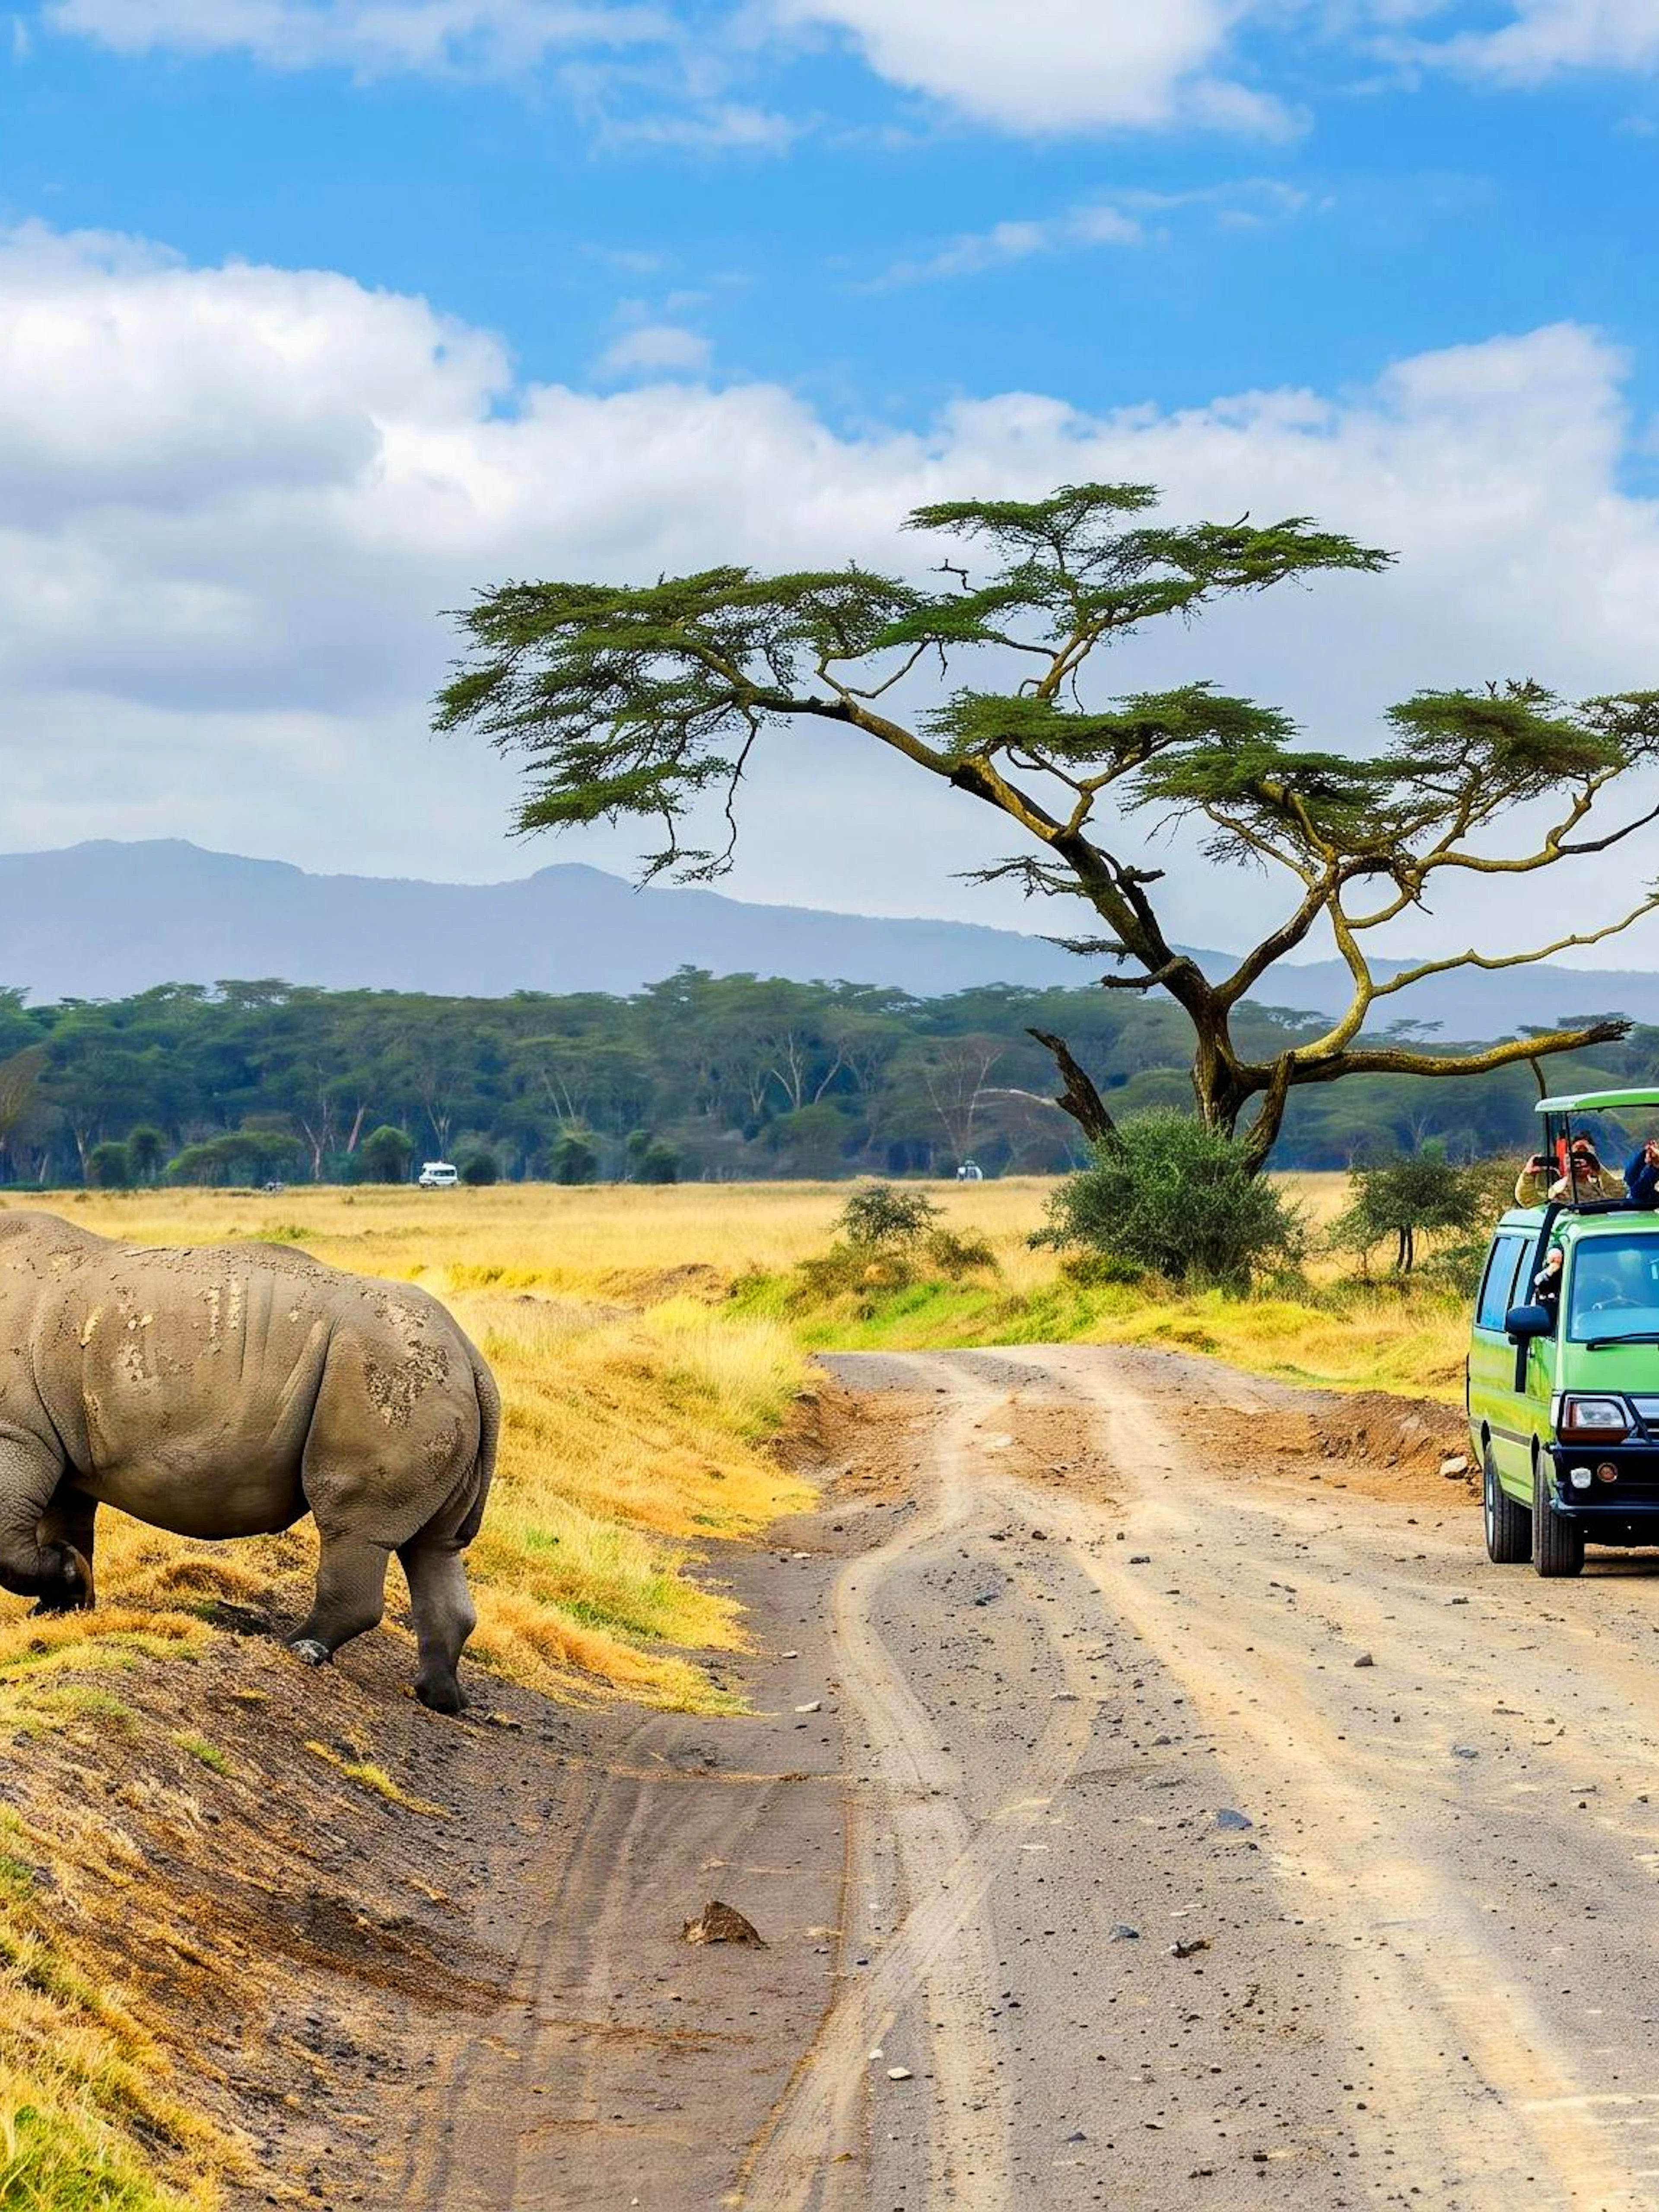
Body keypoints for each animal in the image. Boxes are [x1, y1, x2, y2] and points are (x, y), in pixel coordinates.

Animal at [0, 1210, 498, 1713]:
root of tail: (473, 1359)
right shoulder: (49, 1439)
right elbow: (66, 1524)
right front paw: (65, 1600)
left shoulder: (17, 1431)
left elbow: (11, 1541)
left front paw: (65, 1587)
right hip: (423, 1380)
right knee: (435, 1546)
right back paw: (438, 1698)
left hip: (387, 1376)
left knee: (354, 1528)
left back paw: (297, 1648)